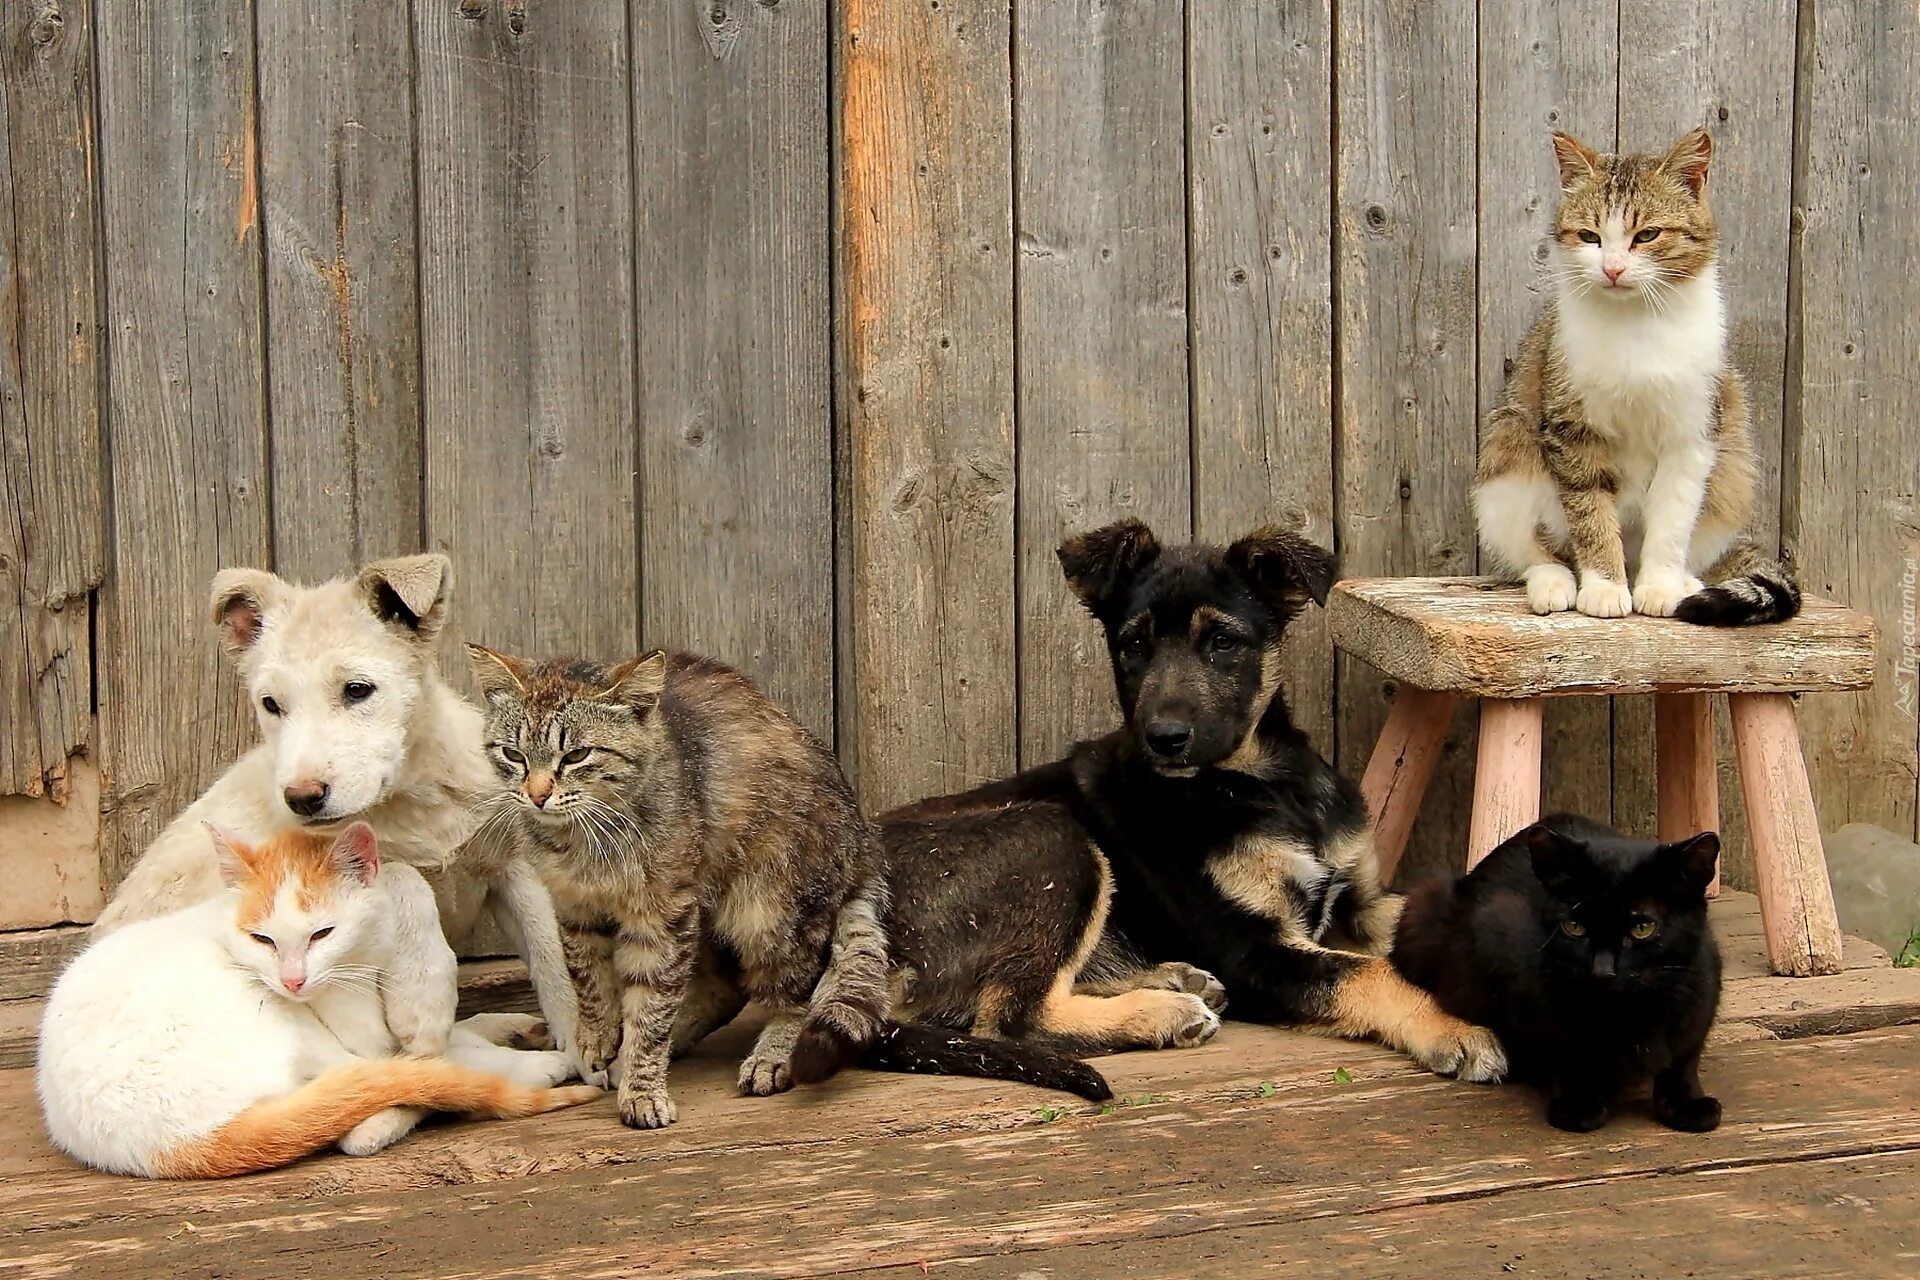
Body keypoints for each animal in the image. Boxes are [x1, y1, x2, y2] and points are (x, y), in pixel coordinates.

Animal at [39, 821, 599, 1182]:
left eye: (321, 934)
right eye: (263, 940)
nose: (293, 980)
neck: (365, 958)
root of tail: (159, 1146)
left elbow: (451, 1037)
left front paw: (504, 1025)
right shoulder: (366, 1039)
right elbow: (430, 1059)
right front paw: (533, 1060)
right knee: (371, 1103)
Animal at [875, 518, 1512, 1082]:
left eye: (1223, 642)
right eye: (1134, 645)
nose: (1164, 738)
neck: (1261, 782)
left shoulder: (1363, 899)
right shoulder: (1254, 949)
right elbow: (1372, 974)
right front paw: (1454, 1025)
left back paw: (1173, 979)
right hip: (1051, 837)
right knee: (1008, 1018)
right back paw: (1163, 1011)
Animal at [1397, 817, 1728, 1136]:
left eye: (1643, 928)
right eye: (1574, 927)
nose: (1603, 970)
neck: (1624, 1016)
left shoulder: (1703, 991)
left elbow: (1684, 1058)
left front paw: (1687, 1102)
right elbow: (1562, 1049)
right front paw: (1579, 1102)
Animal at [1466, 127, 1797, 629]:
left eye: (1648, 235)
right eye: (1590, 236)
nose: (1613, 268)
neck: (1636, 324)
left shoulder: (1693, 433)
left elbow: (1672, 518)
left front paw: (1659, 586)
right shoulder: (1572, 429)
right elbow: (1591, 513)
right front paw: (1604, 588)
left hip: (1733, 471)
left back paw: (1681, 580)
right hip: (1508, 449)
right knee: (1534, 548)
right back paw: (1554, 581)